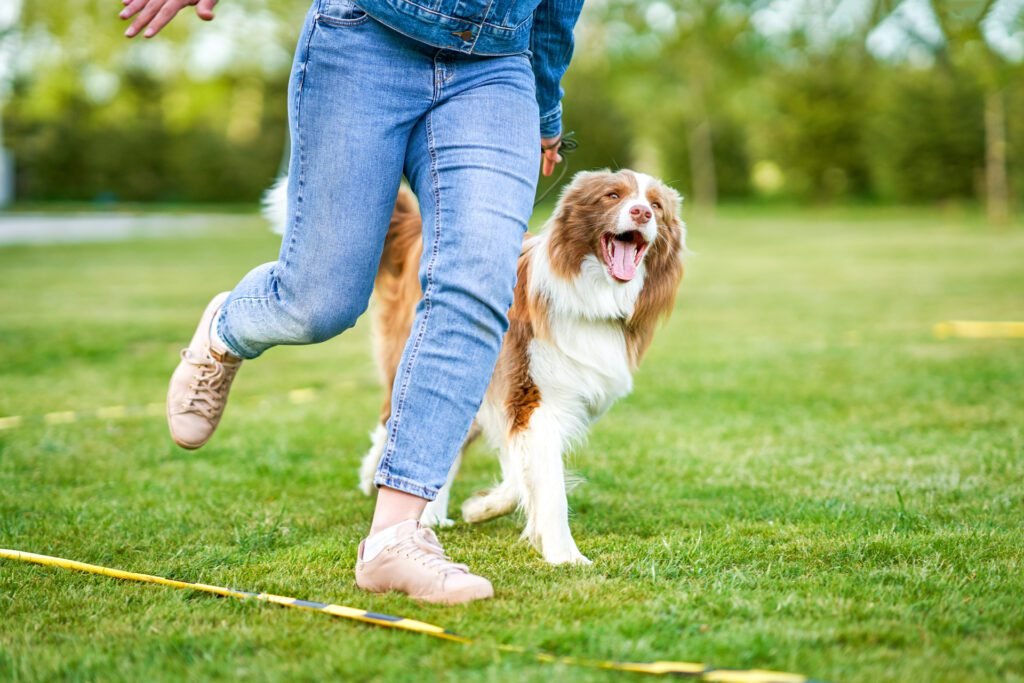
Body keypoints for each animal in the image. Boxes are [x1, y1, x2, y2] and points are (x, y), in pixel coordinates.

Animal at [360, 171, 688, 565]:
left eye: (656, 205)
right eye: (613, 196)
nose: (641, 212)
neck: (594, 299)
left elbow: (523, 471)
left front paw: (481, 507)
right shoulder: (529, 392)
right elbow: (548, 482)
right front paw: (565, 556)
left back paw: (433, 514)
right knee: (395, 417)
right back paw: (377, 477)